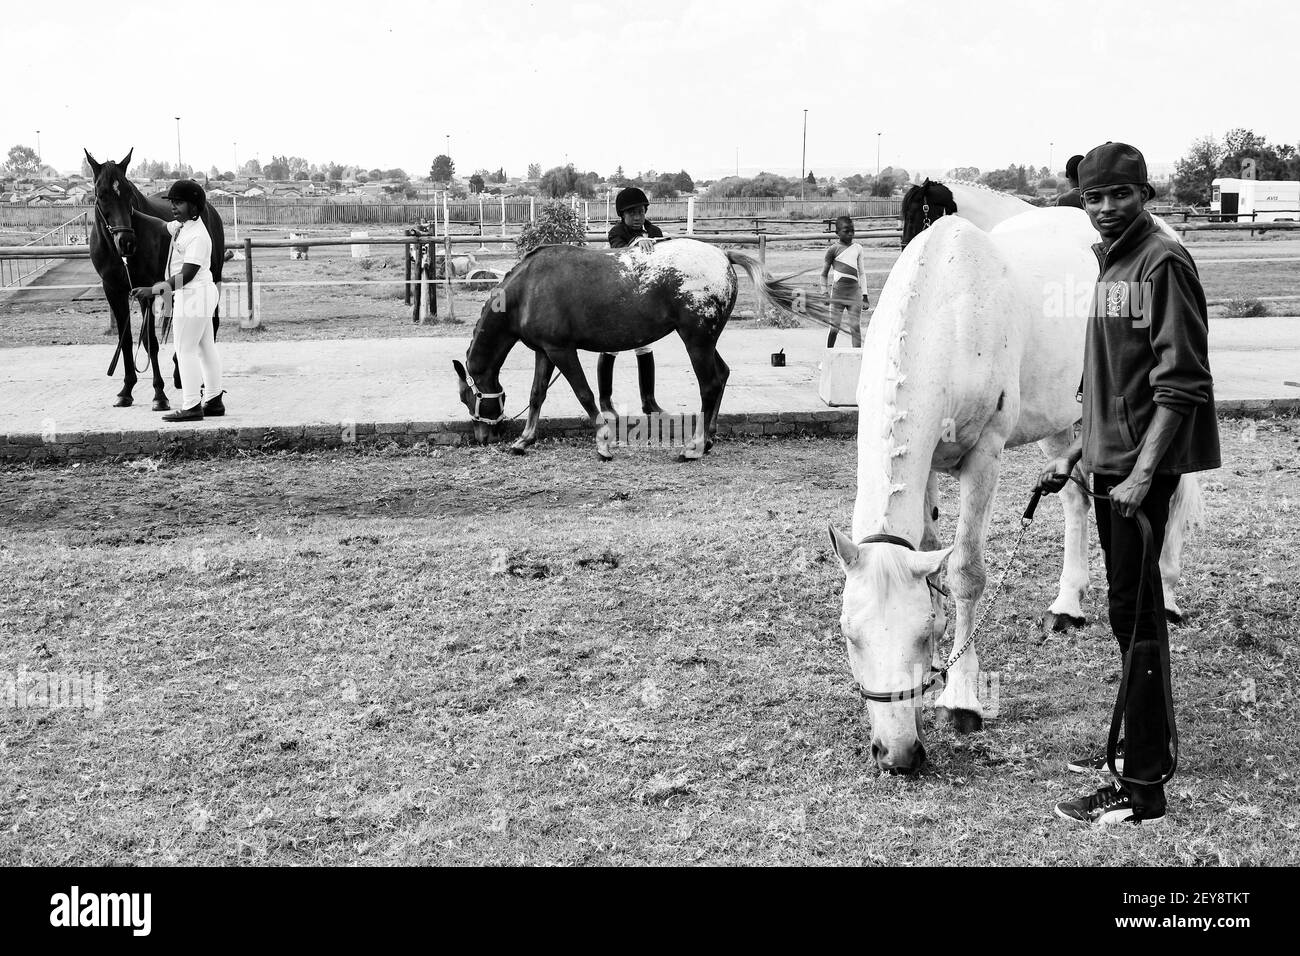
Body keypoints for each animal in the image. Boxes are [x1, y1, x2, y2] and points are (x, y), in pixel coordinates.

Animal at [86, 147, 226, 408]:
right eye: (101, 194)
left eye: (129, 192)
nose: (126, 242)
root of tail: (209, 209)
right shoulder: (113, 291)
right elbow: (126, 340)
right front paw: (126, 390)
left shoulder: (145, 292)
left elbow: (150, 341)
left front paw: (159, 394)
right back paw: (179, 373)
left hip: (213, 276)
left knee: (210, 323)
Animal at [452, 240, 826, 463]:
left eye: (468, 398)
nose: (482, 436)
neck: (528, 288)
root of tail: (722, 254)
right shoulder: (544, 352)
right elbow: (537, 394)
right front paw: (525, 439)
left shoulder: (562, 351)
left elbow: (585, 394)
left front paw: (603, 442)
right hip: (706, 342)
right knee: (722, 377)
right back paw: (708, 439)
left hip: (696, 342)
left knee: (709, 383)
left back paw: (694, 446)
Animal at [826, 205, 1201, 775]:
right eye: (850, 635)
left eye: (917, 635)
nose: (897, 755)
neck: (949, 311)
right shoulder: (927, 465)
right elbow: (932, 559)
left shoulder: (985, 455)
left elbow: (965, 572)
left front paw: (961, 698)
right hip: (1063, 420)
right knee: (1075, 499)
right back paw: (1068, 603)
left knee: (1174, 498)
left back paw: (1170, 592)